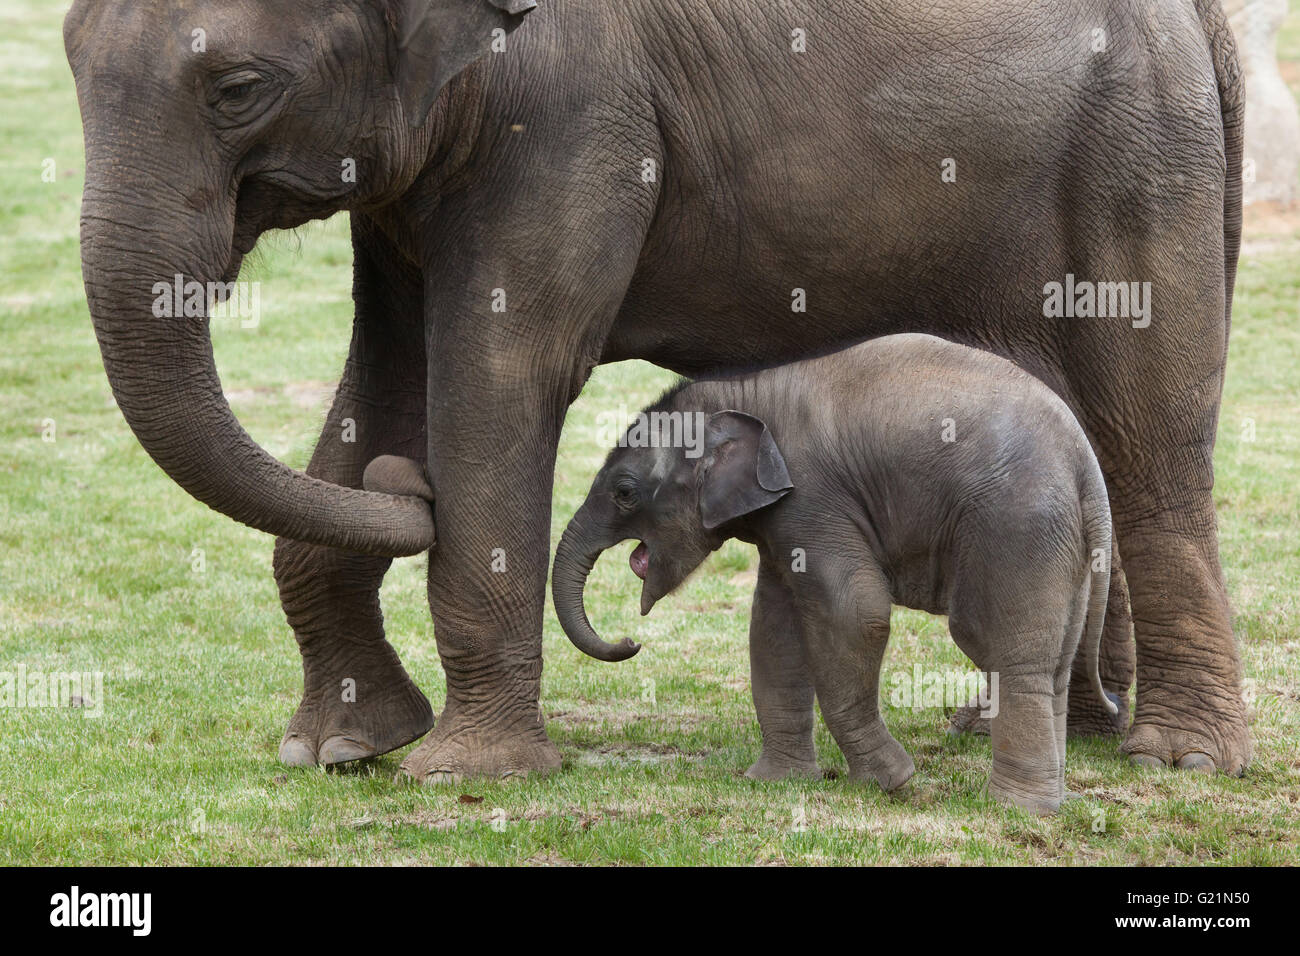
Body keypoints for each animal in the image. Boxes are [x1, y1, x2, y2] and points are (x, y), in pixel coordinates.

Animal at [556, 332, 1118, 811]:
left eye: (625, 492)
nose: (631, 641)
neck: (741, 392)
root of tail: (1085, 462)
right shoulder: (786, 518)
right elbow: (774, 627)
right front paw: (775, 782)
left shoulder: (814, 497)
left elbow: (855, 613)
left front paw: (892, 782)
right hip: (1064, 546)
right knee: (1056, 664)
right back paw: (1047, 800)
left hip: (1015, 522)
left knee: (1003, 650)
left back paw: (1016, 809)